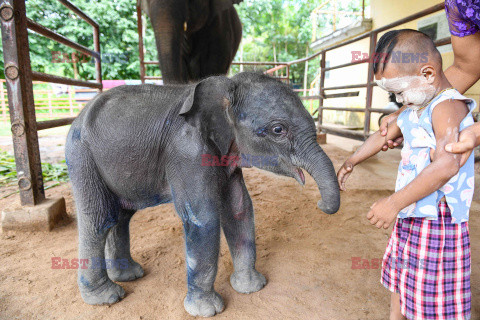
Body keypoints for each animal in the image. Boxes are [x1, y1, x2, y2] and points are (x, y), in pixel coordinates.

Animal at [65, 71, 340, 316]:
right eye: (278, 130)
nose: (320, 204)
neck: (227, 85)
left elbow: (239, 209)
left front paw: (252, 288)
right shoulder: (187, 151)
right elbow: (203, 218)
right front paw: (208, 311)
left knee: (121, 216)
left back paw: (130, 275)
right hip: (81, 156)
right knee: (100, 219)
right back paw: (108, 297)